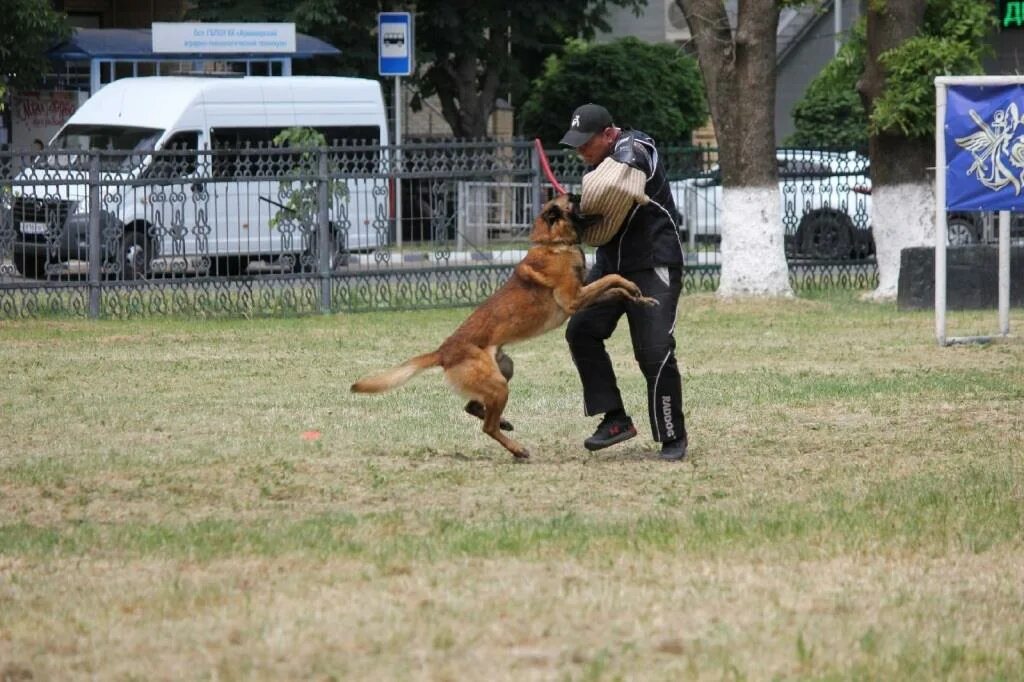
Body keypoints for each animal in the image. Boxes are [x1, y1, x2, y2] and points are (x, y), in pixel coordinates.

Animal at [350, 192, 655, 456]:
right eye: (574, 199)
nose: (584, 192)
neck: (554, 244)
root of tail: (443, 351)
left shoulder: (583, 296)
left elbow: (614, 287)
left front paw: (640, 297)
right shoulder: (574, 299)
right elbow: (612, 277)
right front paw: (633, 288)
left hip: (504, 368)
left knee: (473, 408)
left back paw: (503, 423)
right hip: (498, 383)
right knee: (487, 426)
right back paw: (517, 449)